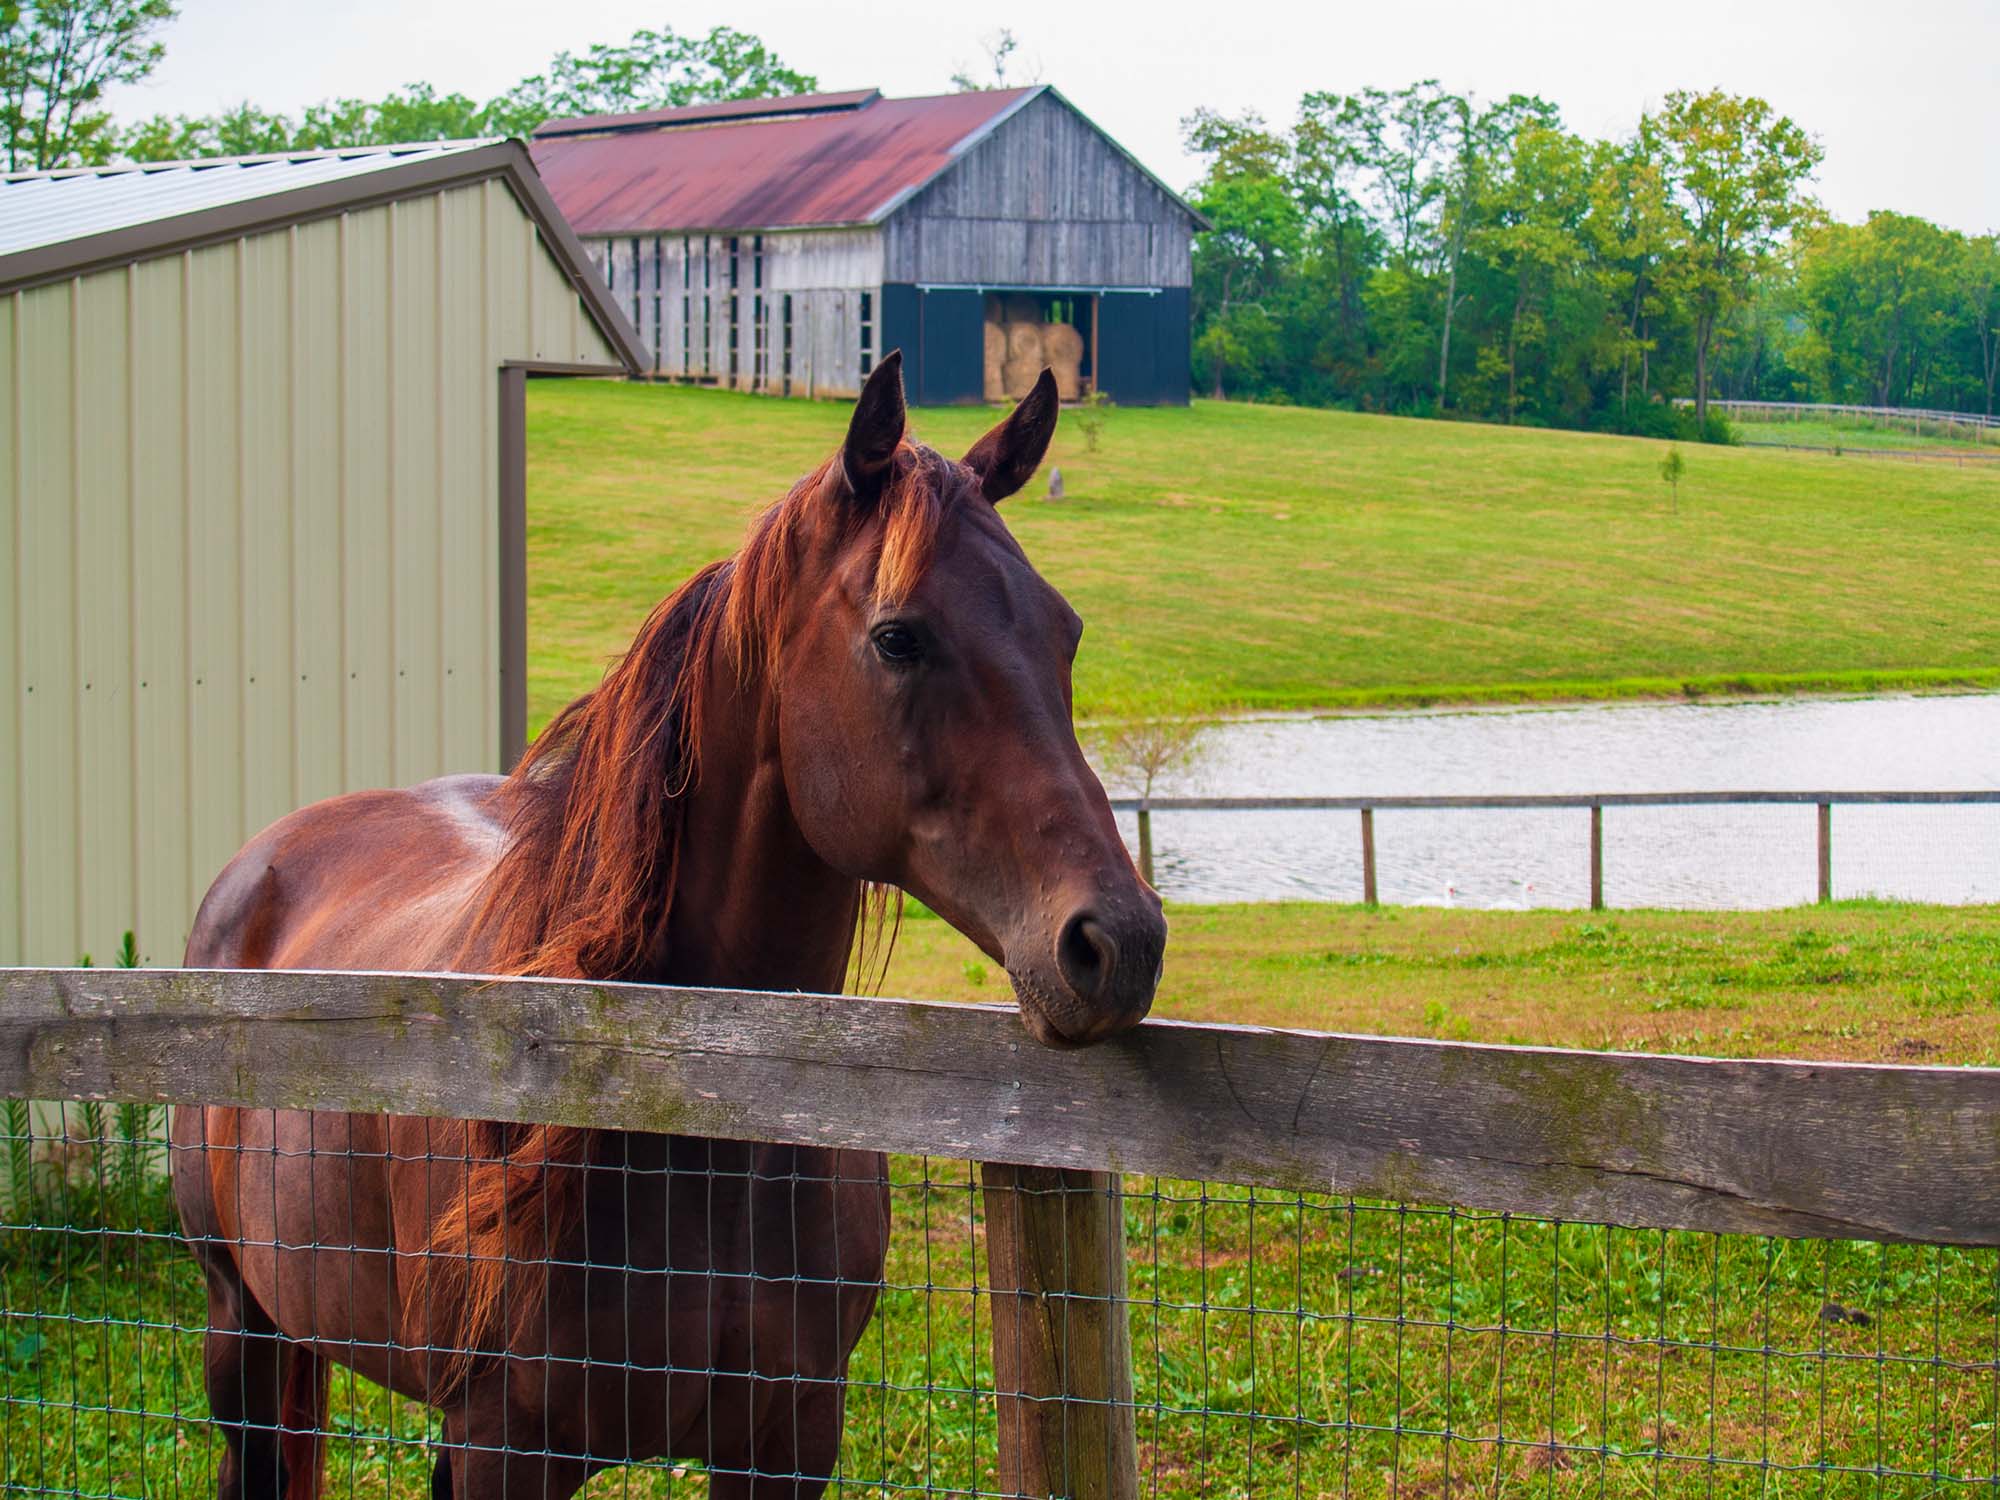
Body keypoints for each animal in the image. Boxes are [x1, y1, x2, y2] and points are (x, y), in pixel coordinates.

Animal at [172, 358, 1168, 1500]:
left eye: (1066, 633)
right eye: (897, 636)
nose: (1117, 942)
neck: (680, 1113)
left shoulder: (786, 1442)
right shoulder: (506, 1447)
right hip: (242, 1335)